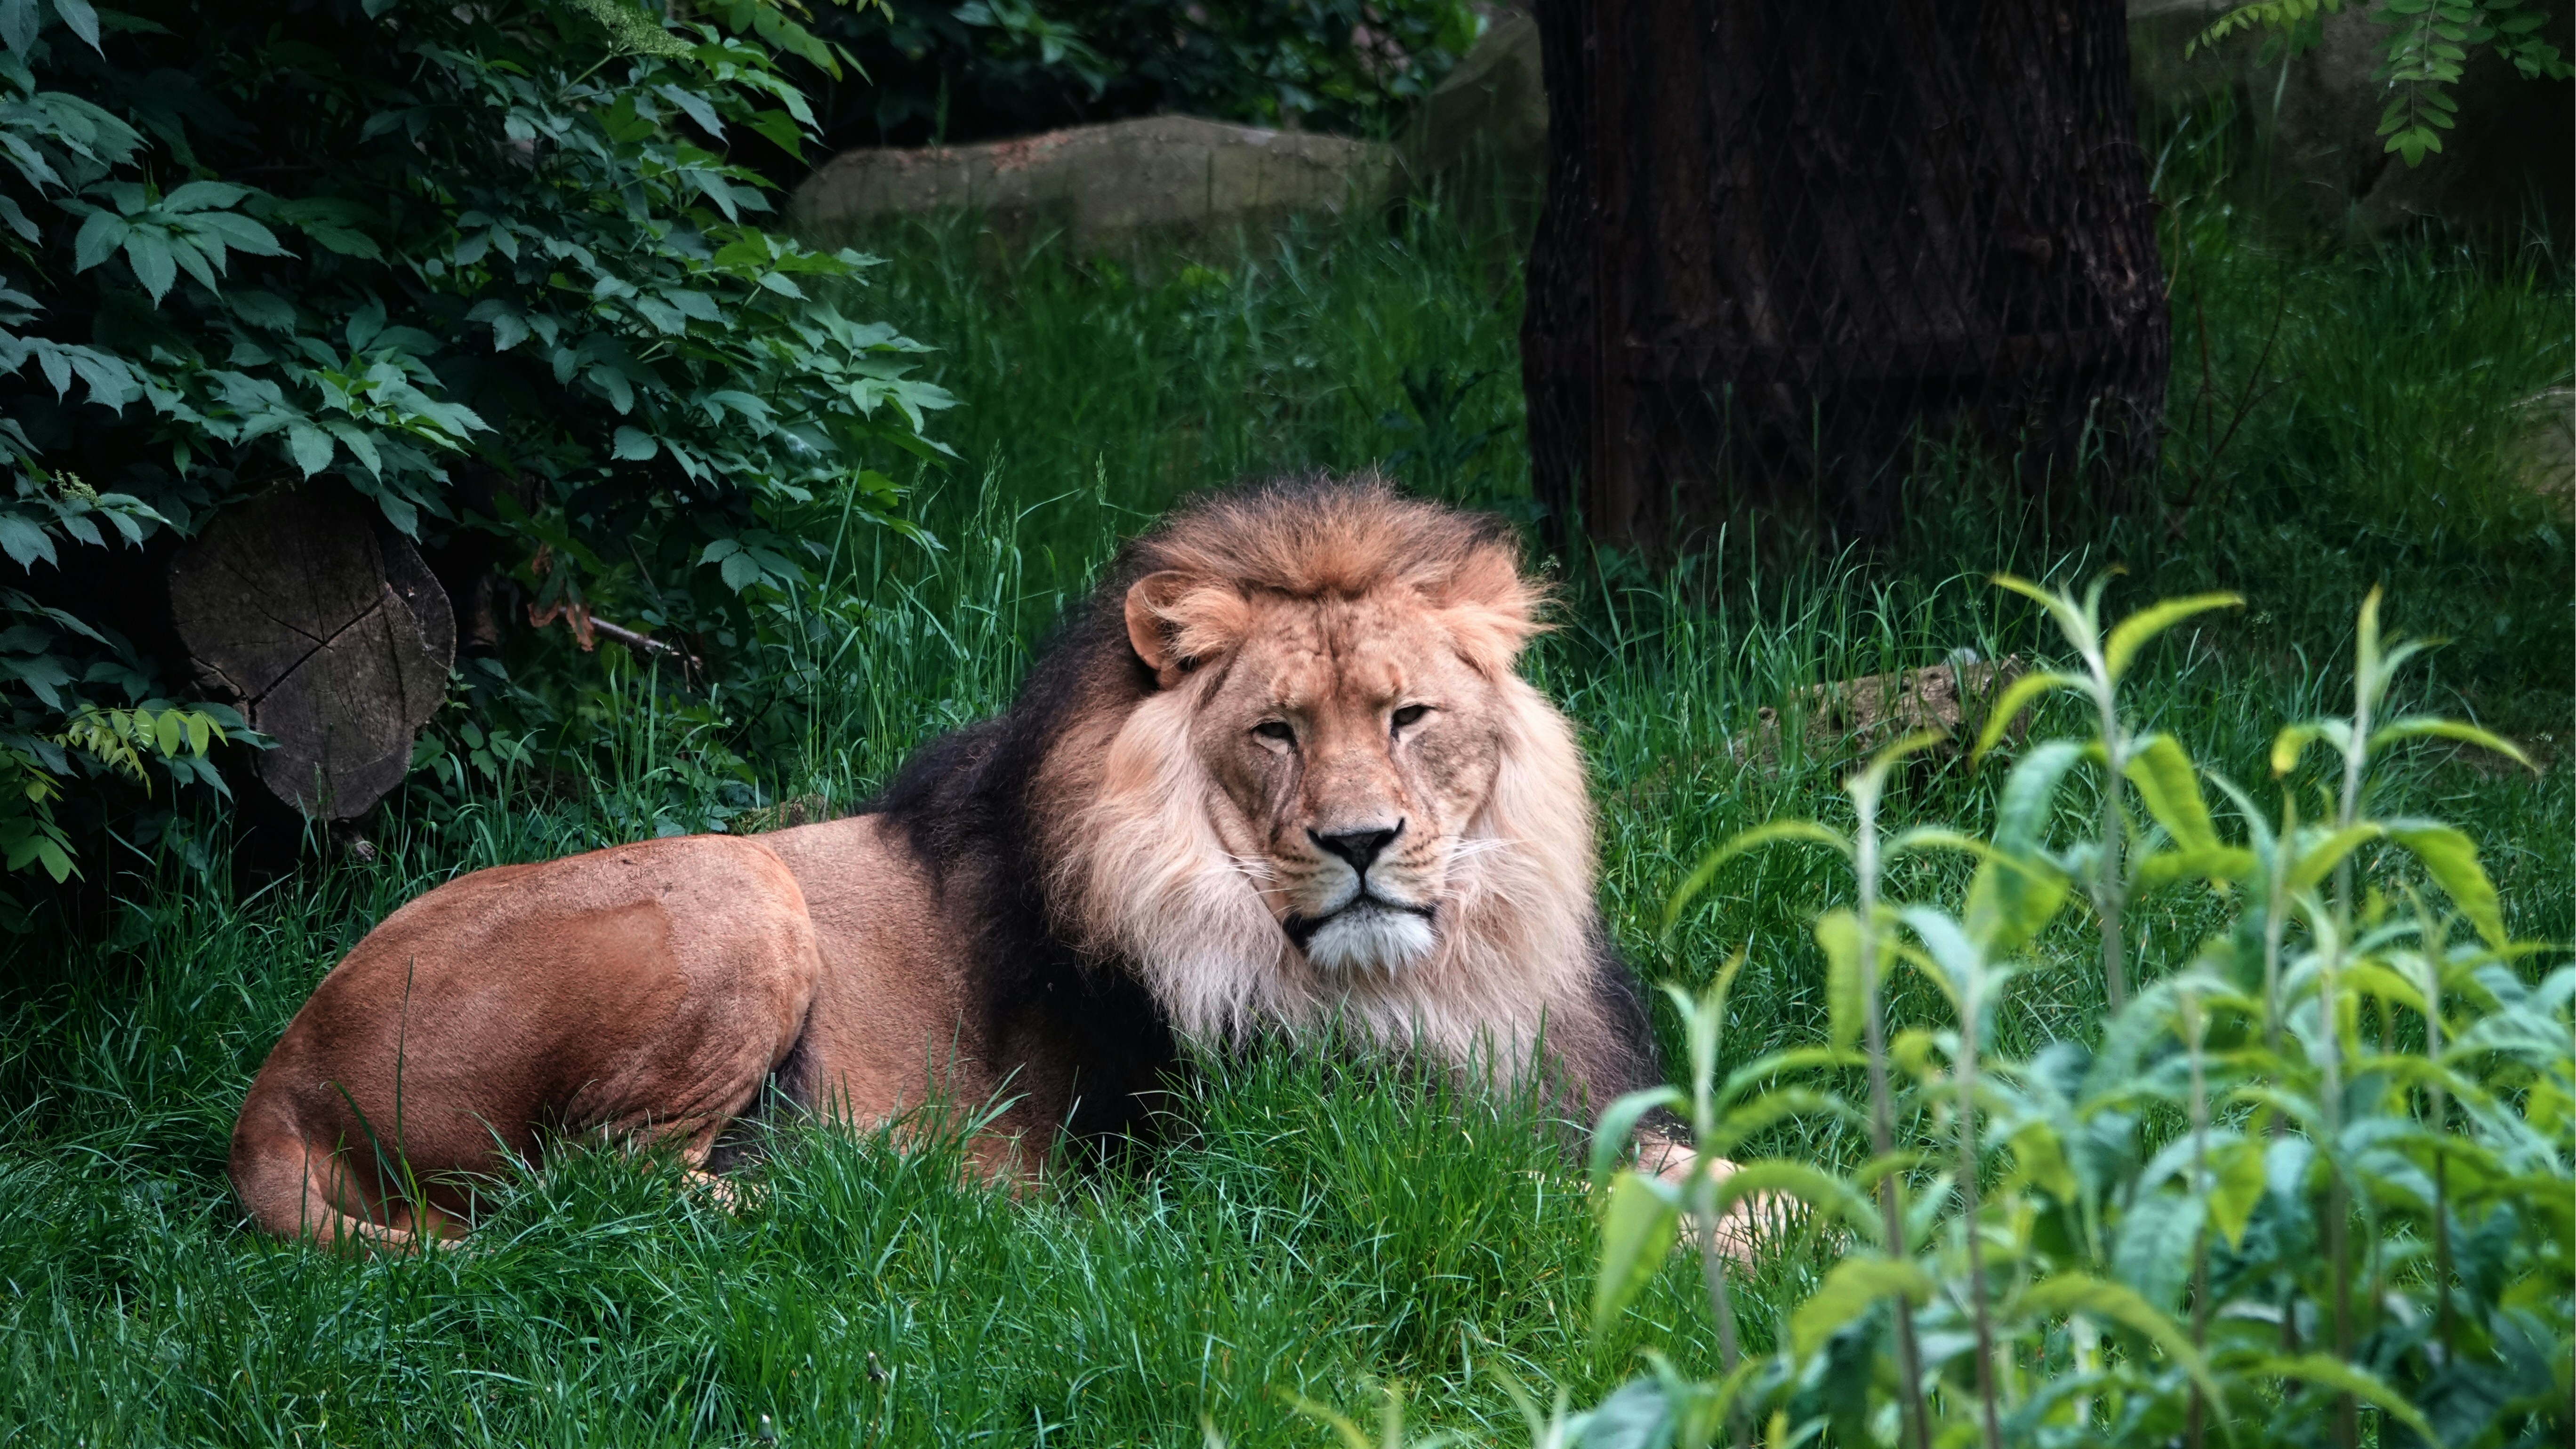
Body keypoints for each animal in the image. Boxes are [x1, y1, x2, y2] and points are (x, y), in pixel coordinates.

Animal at [229, 476, 1720, 1249]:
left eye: (1409, 717)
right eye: (1276, 731)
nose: (1360, 843)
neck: (1415, 976)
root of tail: (279, 1081)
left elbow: (1673, 1149)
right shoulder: (1272, 1155)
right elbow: (1583, 1198)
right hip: (738, 885)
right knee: (604, 1185)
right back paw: (914, 1196)